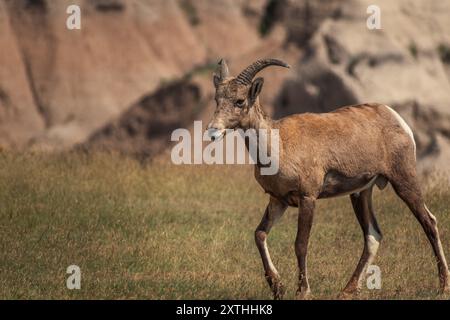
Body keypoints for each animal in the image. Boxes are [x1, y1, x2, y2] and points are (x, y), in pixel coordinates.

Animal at [207, 58, 450, 300]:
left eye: (239, 101)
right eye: (217, 99)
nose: (213, 131)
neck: (279, 144)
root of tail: (396, 118)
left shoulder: (308, 198)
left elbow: (300, 244)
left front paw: (303, 291)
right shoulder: (278, 201)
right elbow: (259, 234)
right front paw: (278, 288)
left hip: (404, 182)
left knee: (429, 222)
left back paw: (443, 286)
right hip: (361, 194)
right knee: (373, 235)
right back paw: (348, 290)